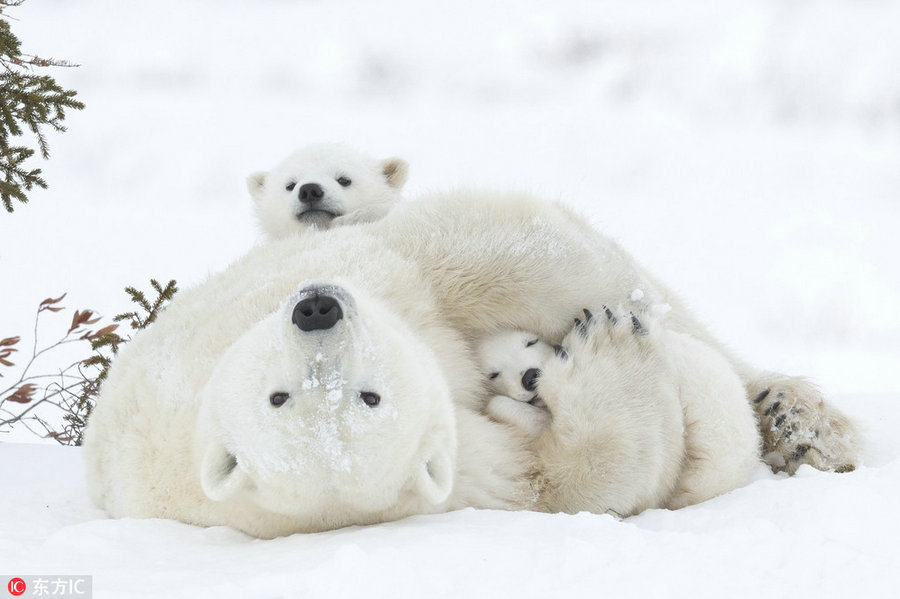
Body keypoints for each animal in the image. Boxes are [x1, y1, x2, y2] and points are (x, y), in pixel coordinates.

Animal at [82, 192, 856, 540]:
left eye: (364, 393)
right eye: (284, 398)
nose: (318, 309)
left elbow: (491, 254)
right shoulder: (456, 478)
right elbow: (569, 479)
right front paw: (607, 347)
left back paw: (800, 420)